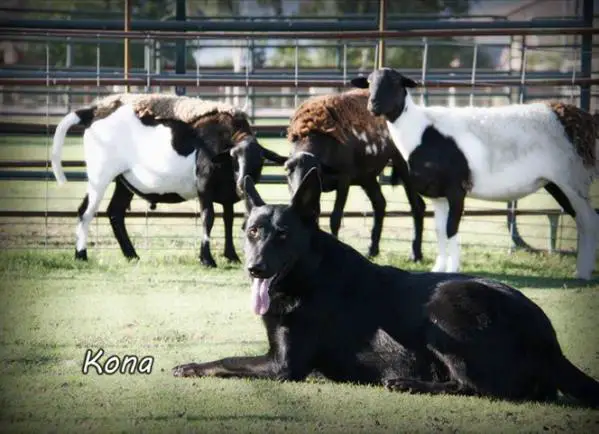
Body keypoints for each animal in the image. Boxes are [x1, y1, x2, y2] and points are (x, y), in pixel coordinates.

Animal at [51, 93, 286, 266]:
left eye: (259, 161)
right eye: (234, 159)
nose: (242, 184)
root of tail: (96, 110)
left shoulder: (227, 193)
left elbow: (229, 219)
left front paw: (232, 256)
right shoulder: (204, 187)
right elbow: (208, 218)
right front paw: (206, 259)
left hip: (123, 180)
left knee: (115, 213)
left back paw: (131, 255)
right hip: (100, 175)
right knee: (86, 211)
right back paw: (81, 255)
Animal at [173, 170, 599, 406]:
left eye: (283, 235)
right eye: (251, 232)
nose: (255, 268)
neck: (311, 274)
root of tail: (550, 342)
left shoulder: (282, 365)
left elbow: (228, 360)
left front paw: (191, 366)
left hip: (444, 304)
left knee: (476, 387)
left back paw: (407, 384)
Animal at [282, 86, 426, 260]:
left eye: (315, 170)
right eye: (288, 170)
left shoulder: (344, 180)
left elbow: (335, 219)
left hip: (403, 164)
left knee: (417, 206)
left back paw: (415, 254)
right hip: (367, 175)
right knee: (380, 203)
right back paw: (372, 250)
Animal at [352, 66, 599, 280]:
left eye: (395, 82)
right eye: (369, 83)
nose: (373, 105)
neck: (419, 131)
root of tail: (580, 120)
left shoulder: (456, 189)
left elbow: (451, 229)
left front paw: (452, 270)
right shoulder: (438, 195)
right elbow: (439, 231)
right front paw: (438, 269)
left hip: (572, 178)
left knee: (588, 219)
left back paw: (582, 273)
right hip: (556, 183)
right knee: (582, 219)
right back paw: (582, 269)